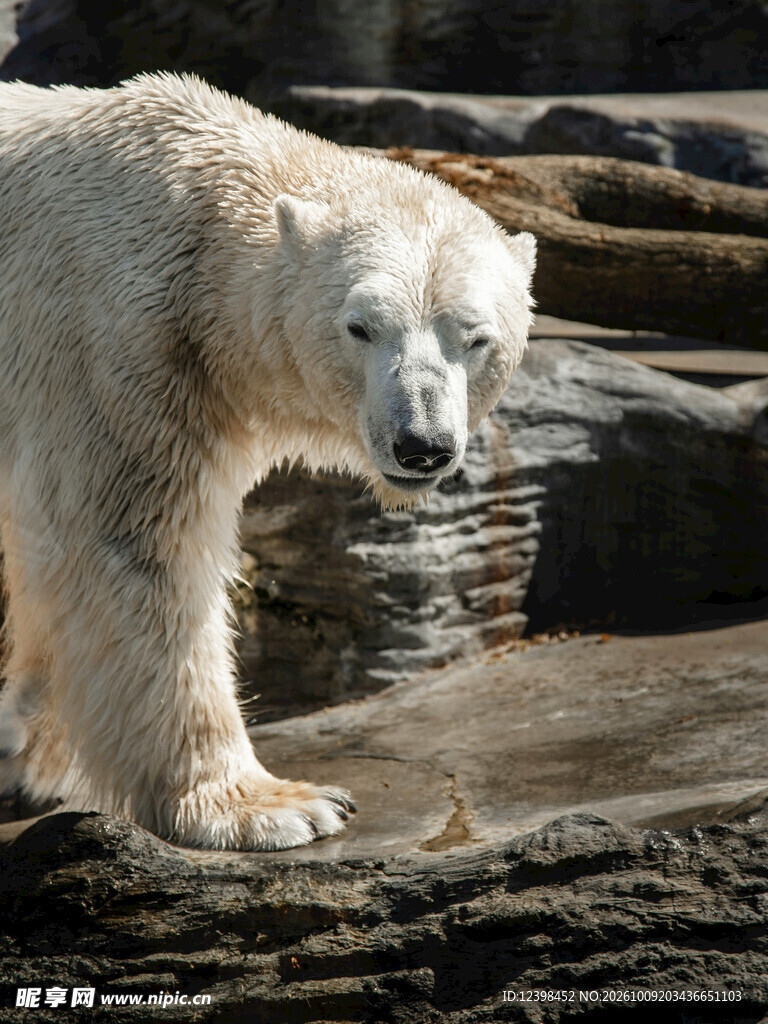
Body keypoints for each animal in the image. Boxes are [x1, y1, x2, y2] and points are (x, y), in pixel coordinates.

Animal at [0, 73, 535, 850]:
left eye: (475, 337)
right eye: (360, 327)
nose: (422, 444)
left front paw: (32, 751)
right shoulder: (113, 344)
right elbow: (136, 547)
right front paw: (271, 805)